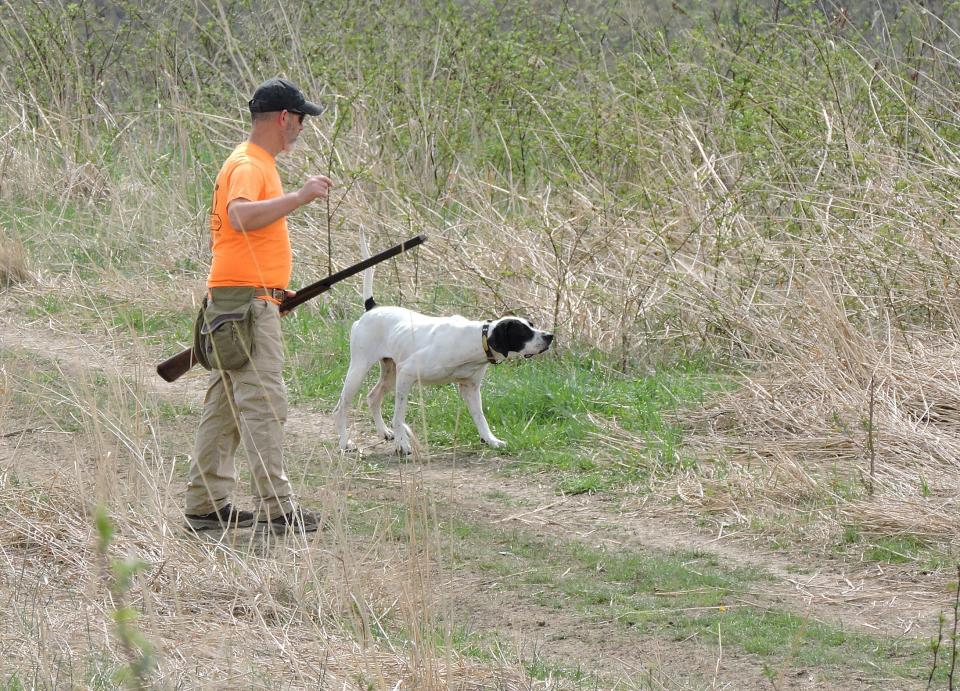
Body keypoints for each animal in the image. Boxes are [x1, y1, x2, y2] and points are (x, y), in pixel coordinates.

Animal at [332, 235, 552, 456]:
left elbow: (480, 418)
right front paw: (403, 444)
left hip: (390, 372)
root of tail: (372, 308)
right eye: (523, 332)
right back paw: (344, 443)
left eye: (532, 325)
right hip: (360, 370)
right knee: (341, 407)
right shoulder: (407, 374)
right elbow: (399, 416)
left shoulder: (470, 388)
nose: (550, 336)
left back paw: (383, 431)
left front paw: (491, 440)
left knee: (372, 397)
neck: (473, 340)